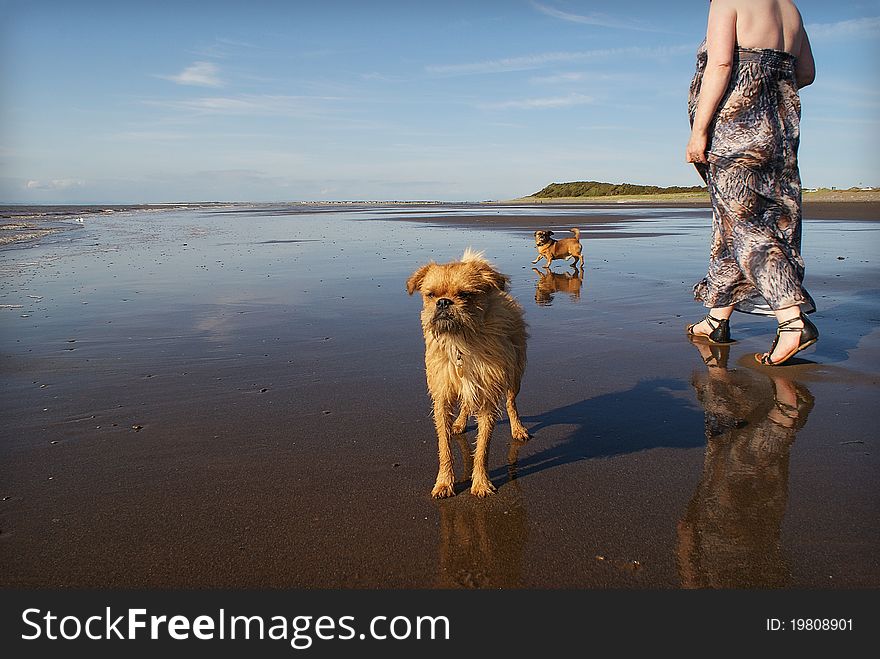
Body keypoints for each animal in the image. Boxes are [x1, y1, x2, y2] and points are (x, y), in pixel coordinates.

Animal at [408, 250, 528, 498]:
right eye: (431, 295)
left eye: (465, 295)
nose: (443, 302)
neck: (461, 341)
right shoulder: (442, 398)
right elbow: (444, 447)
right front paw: (444, 482)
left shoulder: (488, 399)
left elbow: (483, 447)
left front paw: (481, 482)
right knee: (465, 404)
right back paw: (460, 423)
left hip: (515, 375)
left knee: (511, 402)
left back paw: (517, 428)